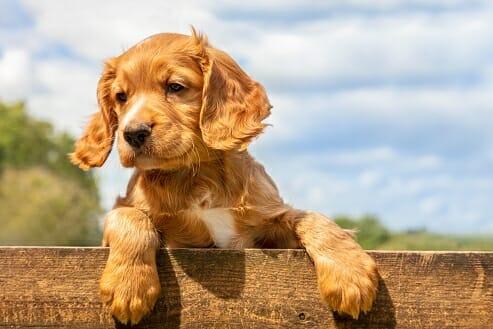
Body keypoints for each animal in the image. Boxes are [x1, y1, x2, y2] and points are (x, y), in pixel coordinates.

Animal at [70, 29, 376, 324]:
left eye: (175, 87)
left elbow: (313, 218)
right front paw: (129, 285)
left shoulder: (267, 221)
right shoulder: (143, 221)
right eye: (121, 97)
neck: (199, 176)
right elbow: (128, 216)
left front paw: (351, 275)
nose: (133, 133)